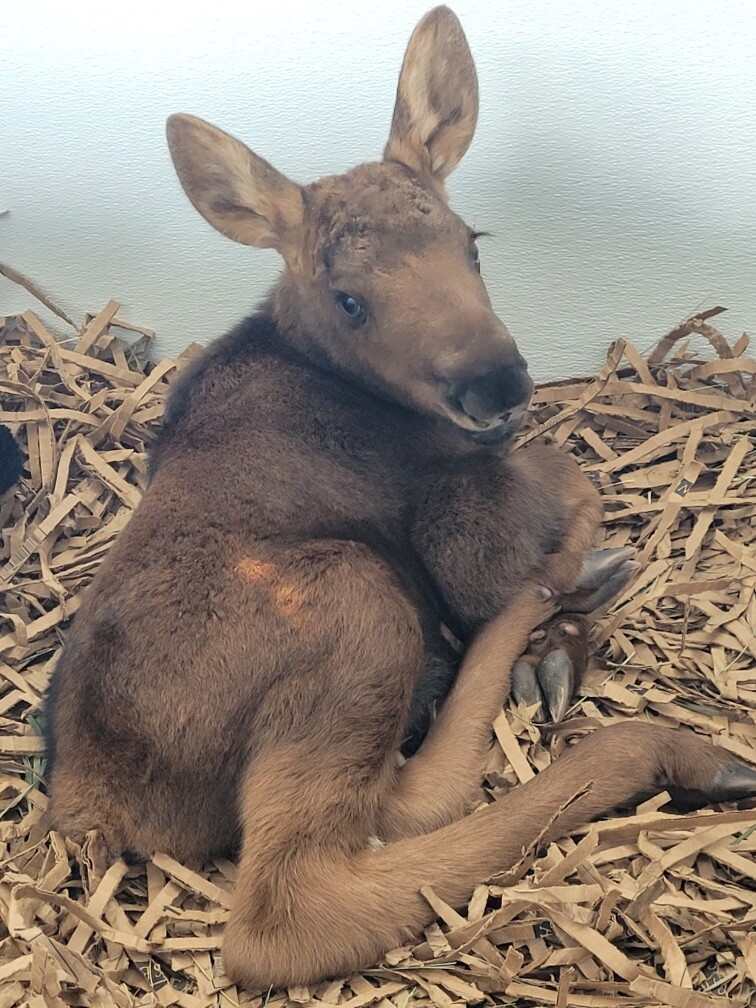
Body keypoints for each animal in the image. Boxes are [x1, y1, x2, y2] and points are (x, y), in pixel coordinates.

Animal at [45, 6, 756, 989]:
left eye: (472, 245)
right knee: (303, 899)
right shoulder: (477, 497)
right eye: (349, 299)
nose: (496, 384)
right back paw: (637, 716)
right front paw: (573, 575)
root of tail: (96, 805)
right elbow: (570, 488)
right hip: (360, 606)